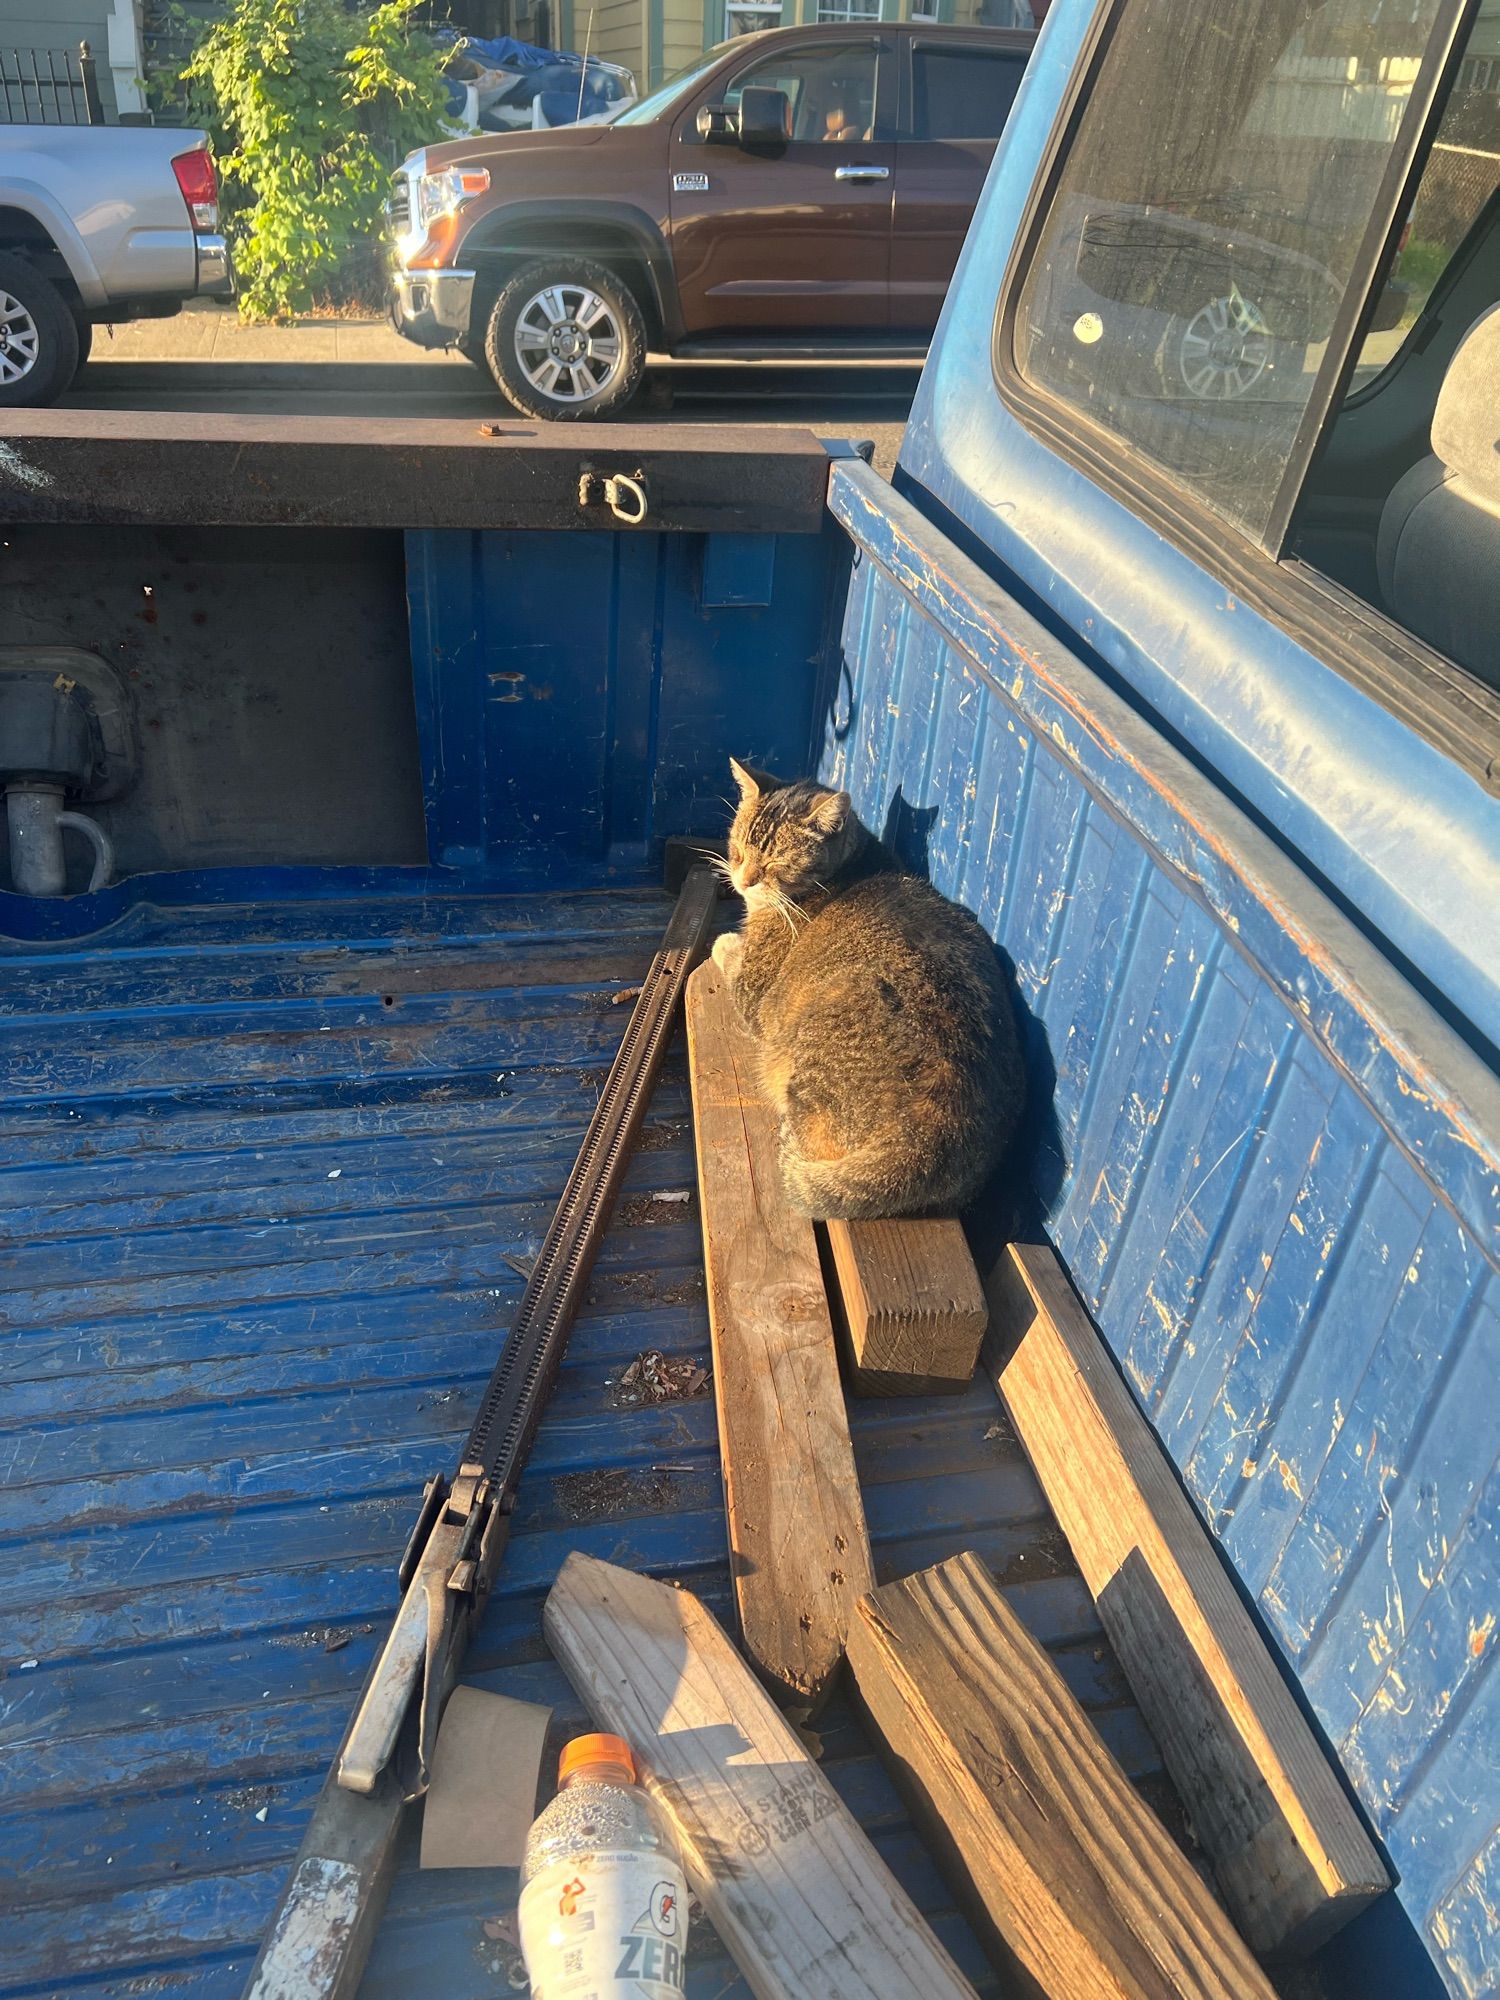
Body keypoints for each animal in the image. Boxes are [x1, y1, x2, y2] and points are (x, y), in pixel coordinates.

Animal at [712, 760, 1024, 1216]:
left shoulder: (754, 992)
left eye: (775, 862)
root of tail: (934, 1140)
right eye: (739, 848)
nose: (744, 879)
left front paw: (725, 940)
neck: (850, 866)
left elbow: (728, 953)